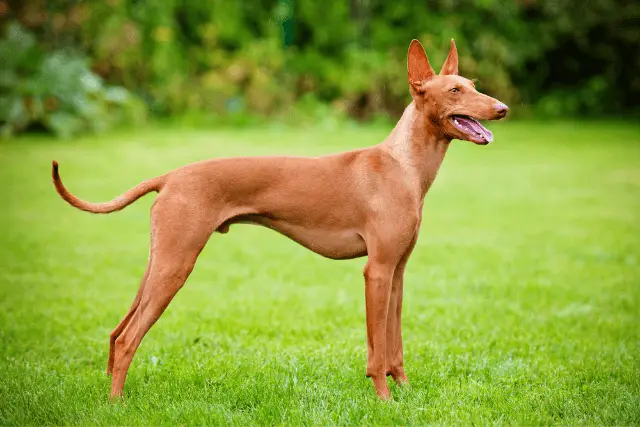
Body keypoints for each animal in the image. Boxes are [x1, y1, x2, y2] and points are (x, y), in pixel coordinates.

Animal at [51, 38, 510, 400]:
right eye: (455, 90)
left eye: (474, 86)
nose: (502, 108)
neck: (403, 165)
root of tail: (170, 176)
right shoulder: (376, 271)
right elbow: (377, 348)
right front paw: (384, 400)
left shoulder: (397, 271)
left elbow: (394, 345)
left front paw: (406, 392)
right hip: (175, 265)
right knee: (129, 337)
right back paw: (116, 404)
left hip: (160, 262)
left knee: (116, 332)